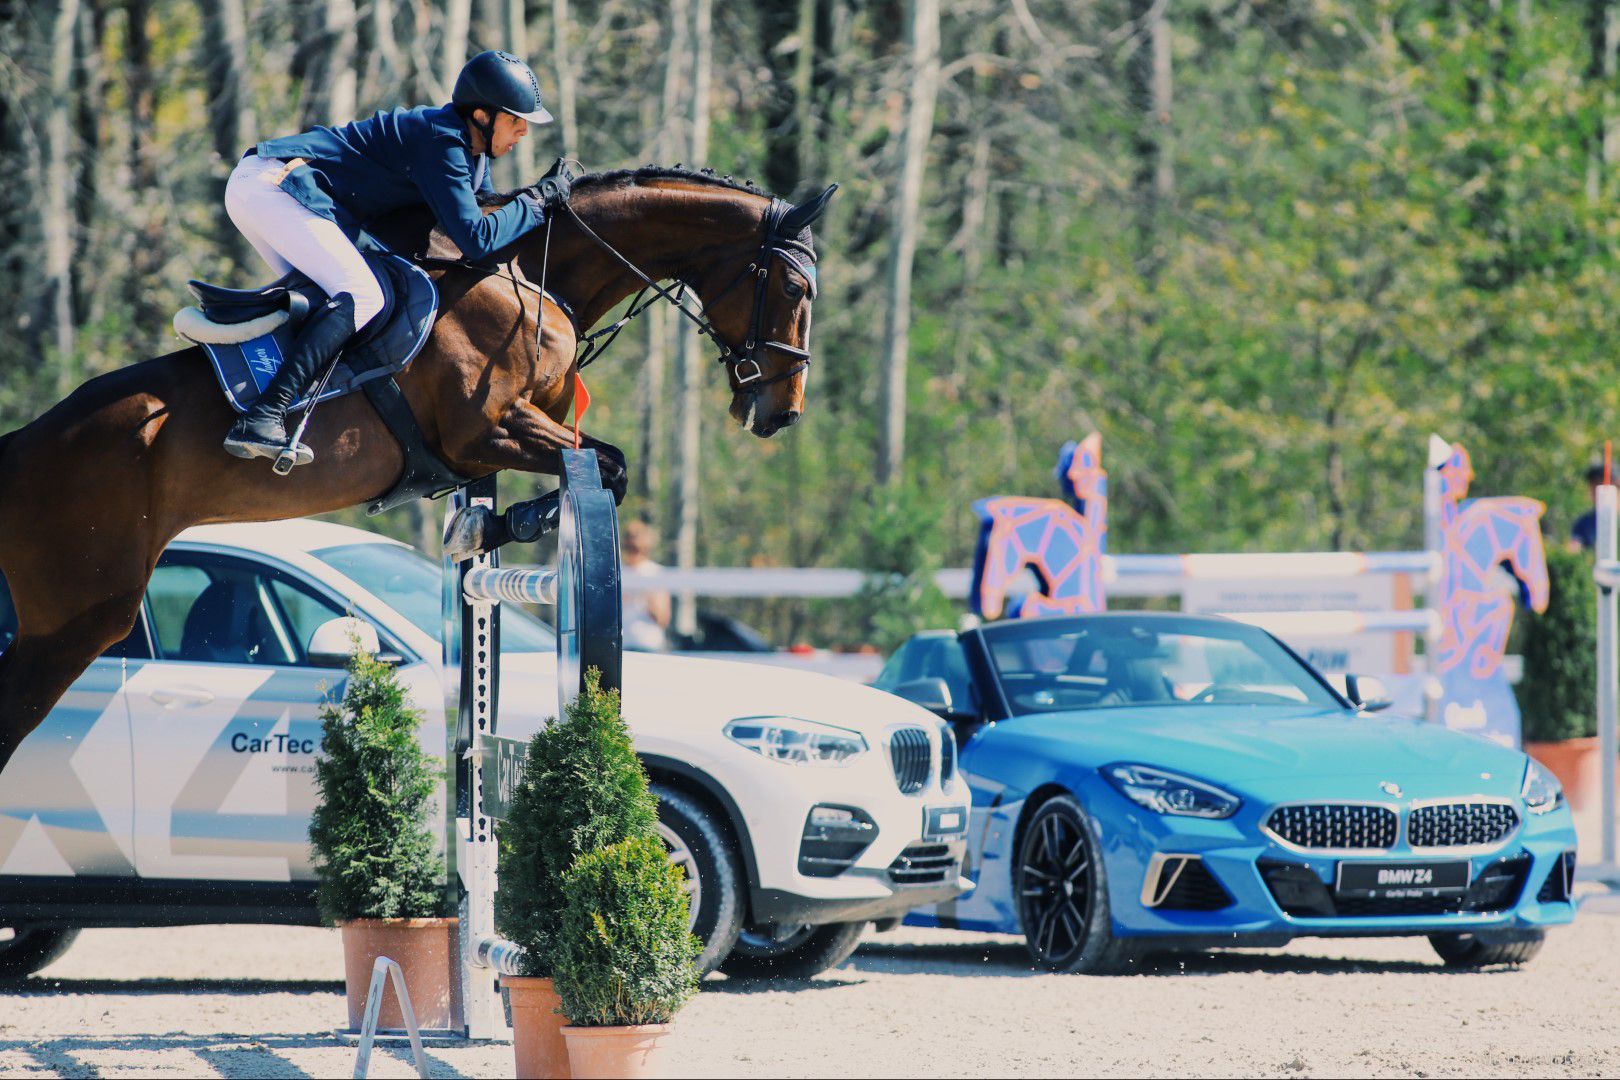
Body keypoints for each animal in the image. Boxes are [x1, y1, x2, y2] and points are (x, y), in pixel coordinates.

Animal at [0, 165, 835, 777]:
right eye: (795, 290)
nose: (783, 412)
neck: (530, 276)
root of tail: (24, 447)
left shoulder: (516, 433)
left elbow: (601, 466)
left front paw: (492, 524)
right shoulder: (487, 431)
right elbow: (607, 465)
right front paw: (506, 522)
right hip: (79, 618)